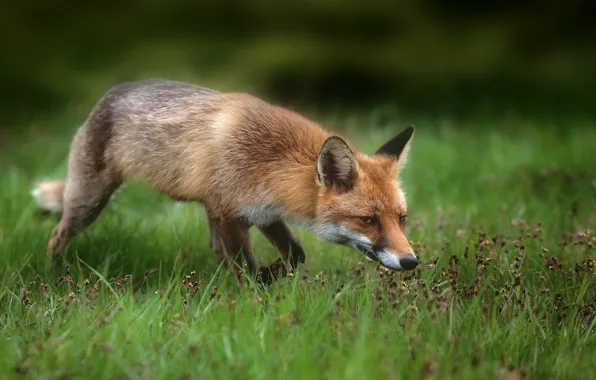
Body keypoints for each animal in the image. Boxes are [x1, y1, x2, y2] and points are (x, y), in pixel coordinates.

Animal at [30, 78, 416, 284]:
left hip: (208, 210)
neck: (269, 163)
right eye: (368, 220)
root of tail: (110, 94)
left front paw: (271, 275)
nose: (411, 262)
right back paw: (53, 276)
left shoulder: (263, 214)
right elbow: (246, 267)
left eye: (401, 219)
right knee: (56, 235)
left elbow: (296, 254)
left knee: (216, 249)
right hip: (89, 201)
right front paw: (254, 295)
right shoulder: (232, 214)